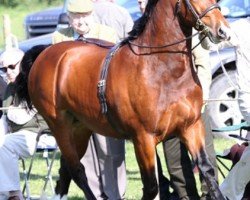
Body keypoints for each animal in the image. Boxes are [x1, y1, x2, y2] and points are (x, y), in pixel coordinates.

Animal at [18, 0, 230, 198]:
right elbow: (151, 186)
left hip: (80, 128)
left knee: (66, 171)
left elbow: (207, 171)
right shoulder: (143, 139)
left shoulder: (190, 127)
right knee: (77, 170)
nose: (223, 31)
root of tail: (46, 53)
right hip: (59, 126)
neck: (162, 69)